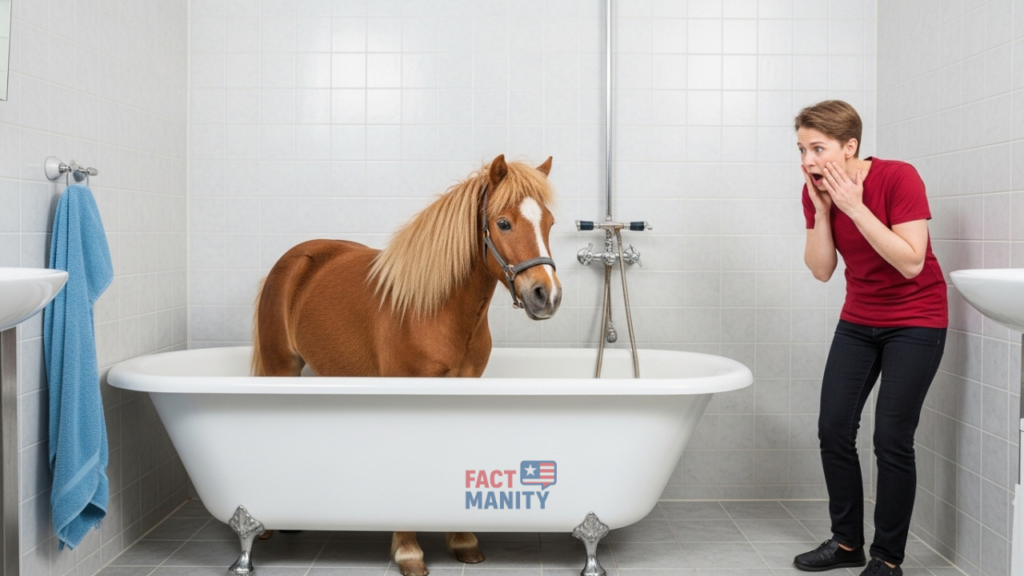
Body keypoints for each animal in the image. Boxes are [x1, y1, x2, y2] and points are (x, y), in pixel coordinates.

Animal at [250, 155, 562, 576]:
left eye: (549, 222)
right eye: (503, 223)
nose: (547, 295)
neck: (433, 310)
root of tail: (294, 259)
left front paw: (462, 540)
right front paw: (409, 551)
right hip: (280, 367)